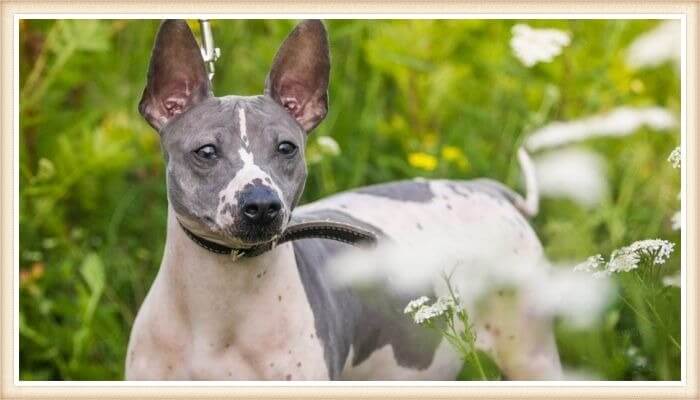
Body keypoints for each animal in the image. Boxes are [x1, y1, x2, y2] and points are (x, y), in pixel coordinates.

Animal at [126, 19, 564, 382]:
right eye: (206, 152)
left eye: (286, 148)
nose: (263, 204)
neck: (218, 308)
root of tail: (488, 189)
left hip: (531, 354)